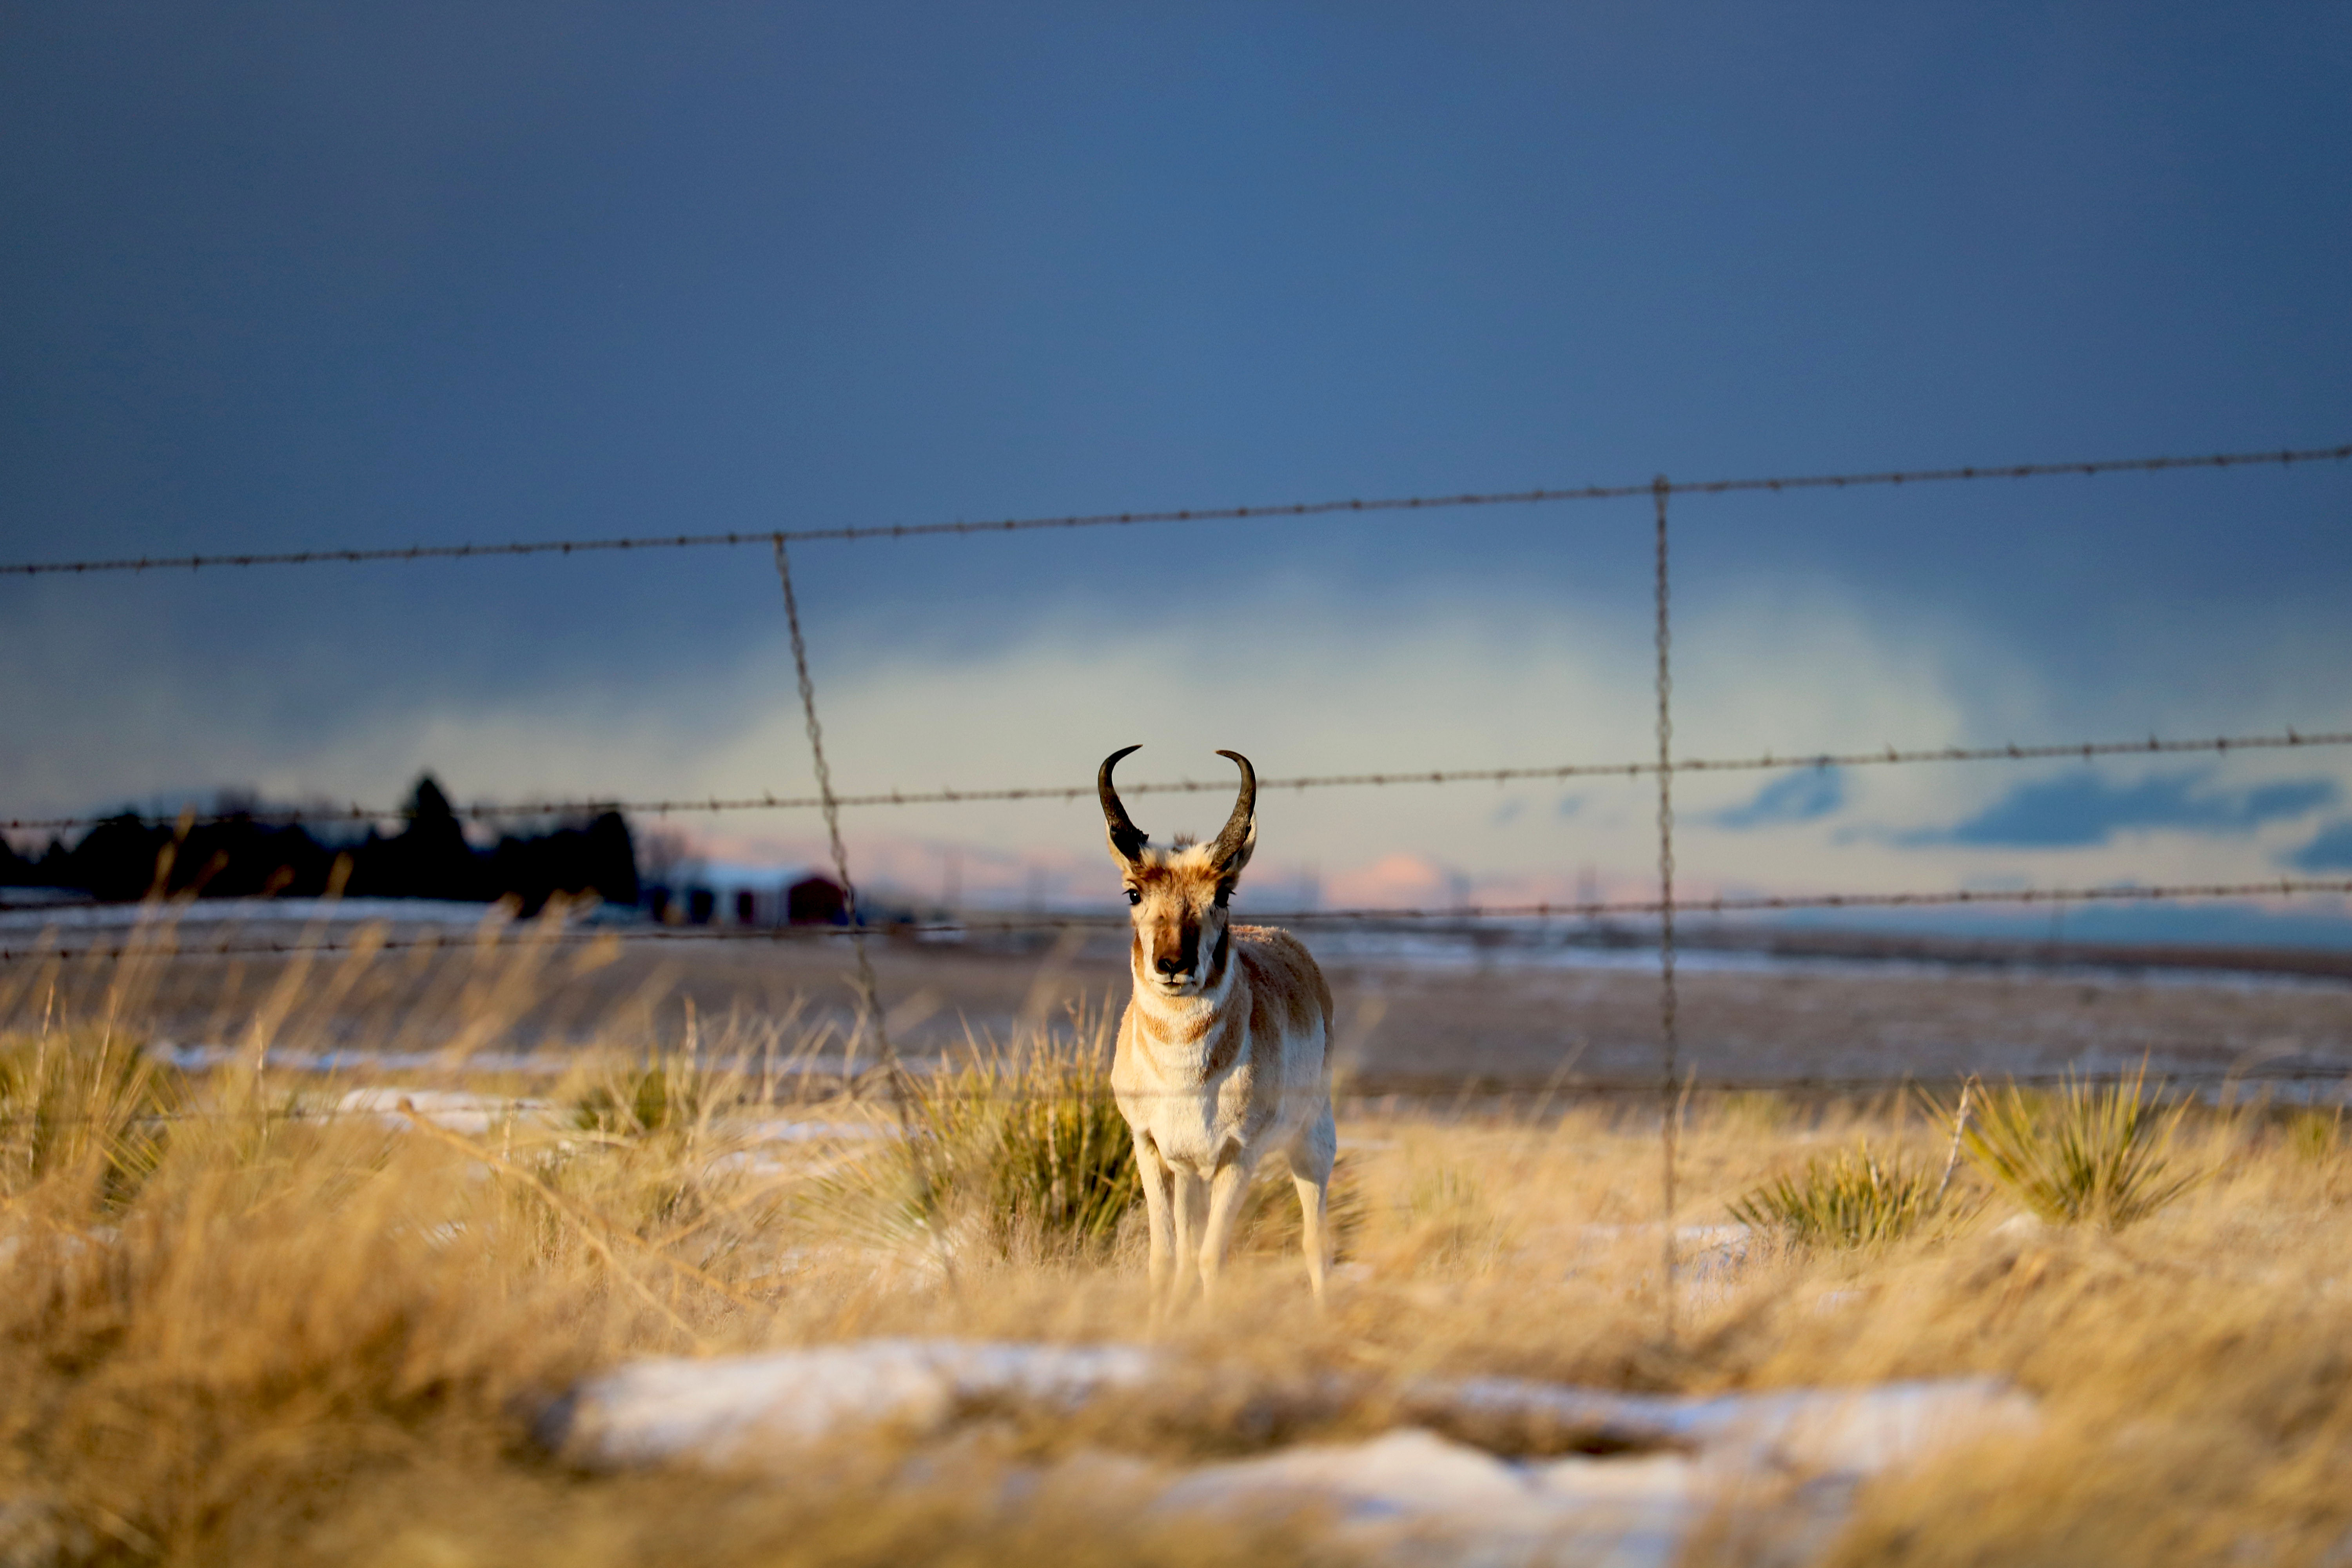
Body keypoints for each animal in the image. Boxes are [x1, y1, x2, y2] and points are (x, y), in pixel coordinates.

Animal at [1091, 748, 1336, 1298]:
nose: (1173, 964)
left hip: (1311, 1145)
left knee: (1316, 1244)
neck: (1183, 1074)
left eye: (1223, 894)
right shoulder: (1151, 1147)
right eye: (1133, 893)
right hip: (1189, 1173)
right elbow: (1166, 1258)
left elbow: (1212, 1258)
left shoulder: (1239, 1156)